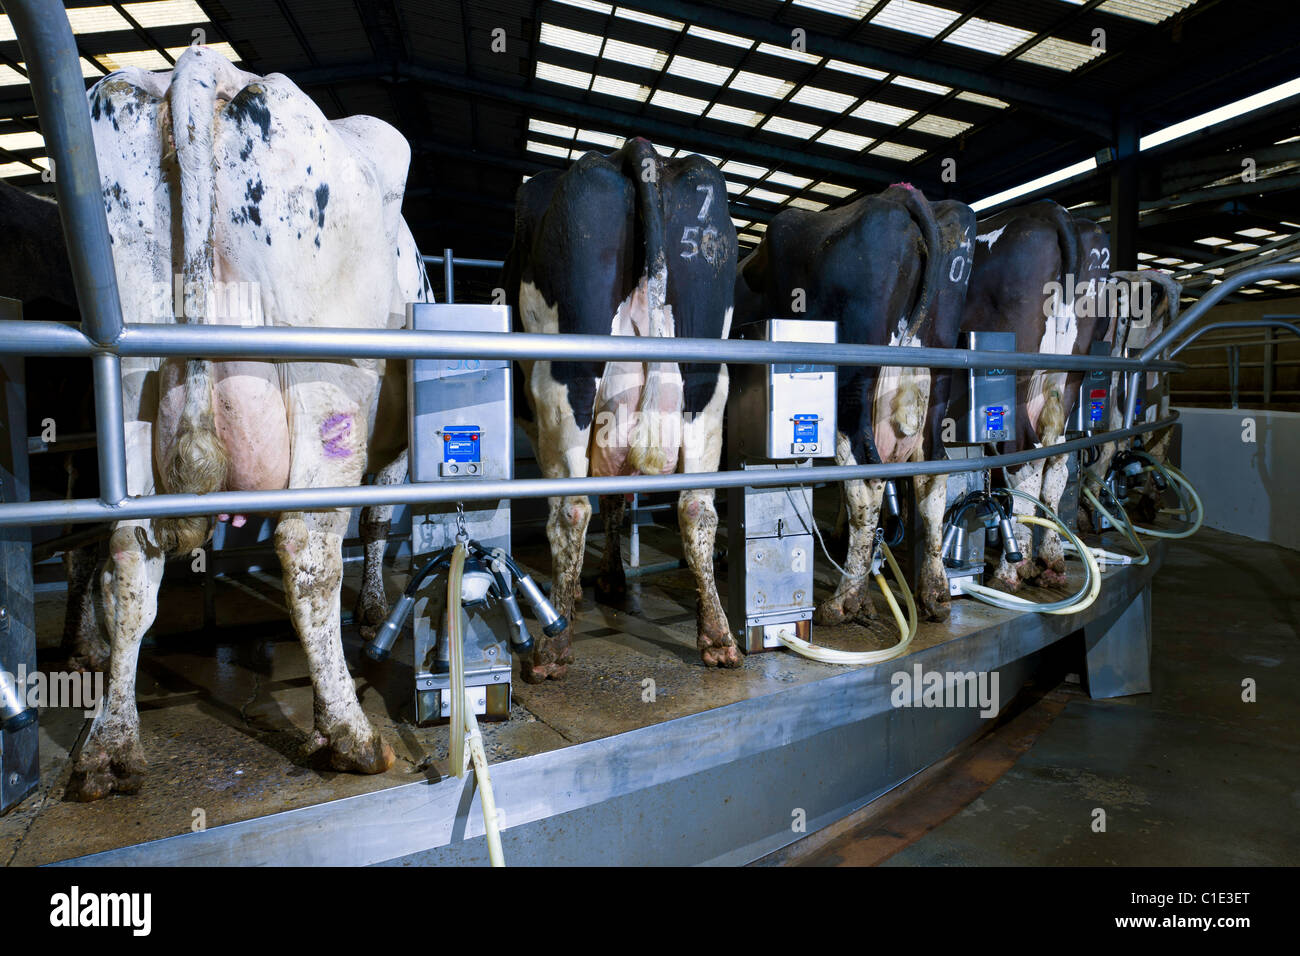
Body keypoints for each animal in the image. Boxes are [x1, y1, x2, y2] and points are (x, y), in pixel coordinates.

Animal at [67, 50, 426, 801]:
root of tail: (204, 66)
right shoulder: (393, 448)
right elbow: (380, 519)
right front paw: (374, 610)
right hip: (329, 381)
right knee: (308, 550)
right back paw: (349, 733)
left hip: (125, 376)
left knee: (127, 558)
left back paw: (109, 746)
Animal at [501, 140, 738, 681]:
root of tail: (640, 153)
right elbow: (615, 498)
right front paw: (611, 580)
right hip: (707, 383)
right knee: (697, 508)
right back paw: (717, 638)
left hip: (565, 382)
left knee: (570, 509)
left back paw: (553, 647)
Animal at [733, 183, 977, 624]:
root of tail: (901, 196)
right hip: (936, 383)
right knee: (932, 475)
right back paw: (934, 593)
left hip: (852, 390)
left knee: (866, 479)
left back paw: (846, 601)